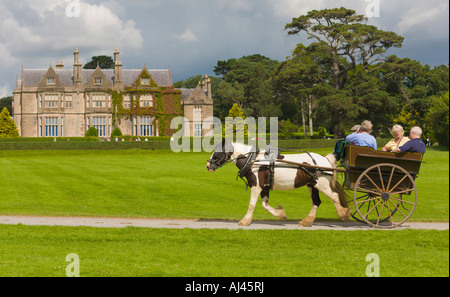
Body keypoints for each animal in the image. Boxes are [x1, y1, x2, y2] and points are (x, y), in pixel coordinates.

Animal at [207, 140, 352, 225]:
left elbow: (252, 204)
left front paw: (245, 221)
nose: (208, 166)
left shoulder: (256, 186)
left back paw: (343, 214)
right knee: (316, 202)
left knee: (334, 197)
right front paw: (280, 214)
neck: (253, 161)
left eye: (217, 152)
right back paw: (307, 221)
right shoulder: (264, 187)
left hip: (321, 184)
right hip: (312, 184)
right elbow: (265, 205)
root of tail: (325, 159)